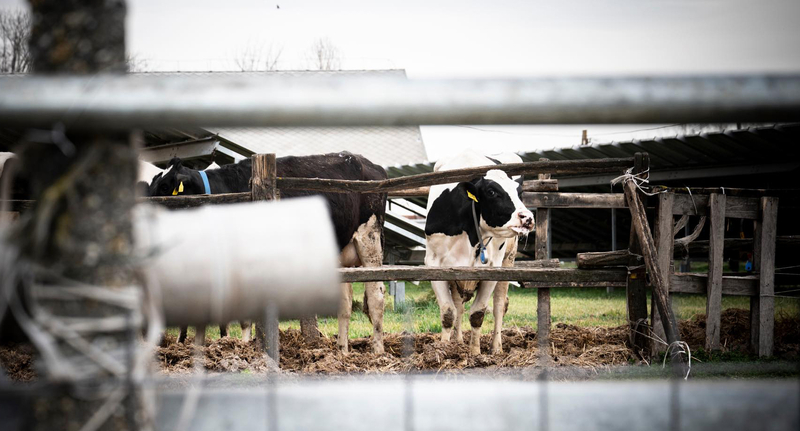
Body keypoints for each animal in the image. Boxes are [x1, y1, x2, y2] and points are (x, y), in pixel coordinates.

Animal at [150, 153, 390, 354]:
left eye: (165, 187)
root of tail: (370, 164)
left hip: (370, 238)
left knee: (376, 295)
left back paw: (378, 351)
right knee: (346, 303)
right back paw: (342, 350)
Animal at [422, 150, 536, 356]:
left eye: (518, 192)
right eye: (491, 192)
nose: (528, 218)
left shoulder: (491, 269)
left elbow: (478, 313)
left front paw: (475, 353)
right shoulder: (435, 265)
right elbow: (448, 312)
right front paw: (444, 349)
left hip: (508, 260)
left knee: (499, 305)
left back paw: (496, 348)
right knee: (459, 305)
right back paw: (458, 341)